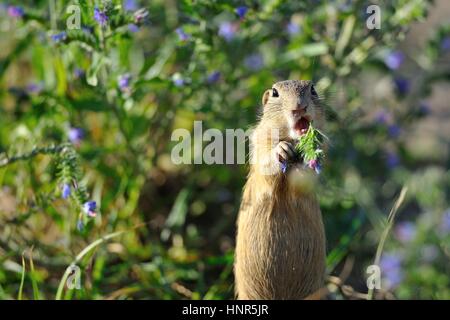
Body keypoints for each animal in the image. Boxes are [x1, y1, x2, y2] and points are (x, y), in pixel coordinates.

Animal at [234, 80, 326, 300]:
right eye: (275, 93)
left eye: (312, 89)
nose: (299, 107)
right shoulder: (259, 145)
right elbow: (266, 166)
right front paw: (281, 150)